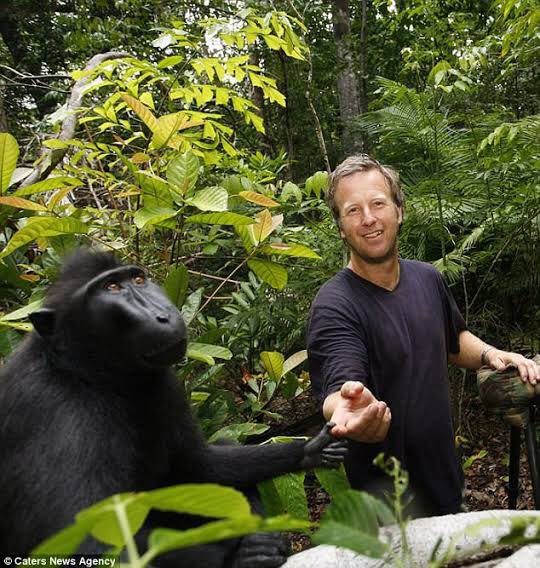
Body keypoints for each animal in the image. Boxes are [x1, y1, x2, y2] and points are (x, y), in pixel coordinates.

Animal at [0, 251, 346, 564]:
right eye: (111, 287)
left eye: (138, 280)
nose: (163, 314)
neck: (92, 374)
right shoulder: (58, 410)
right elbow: (88, 543)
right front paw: (241, 555)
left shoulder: (166, 382)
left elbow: (201, 464)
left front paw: (311, 449)